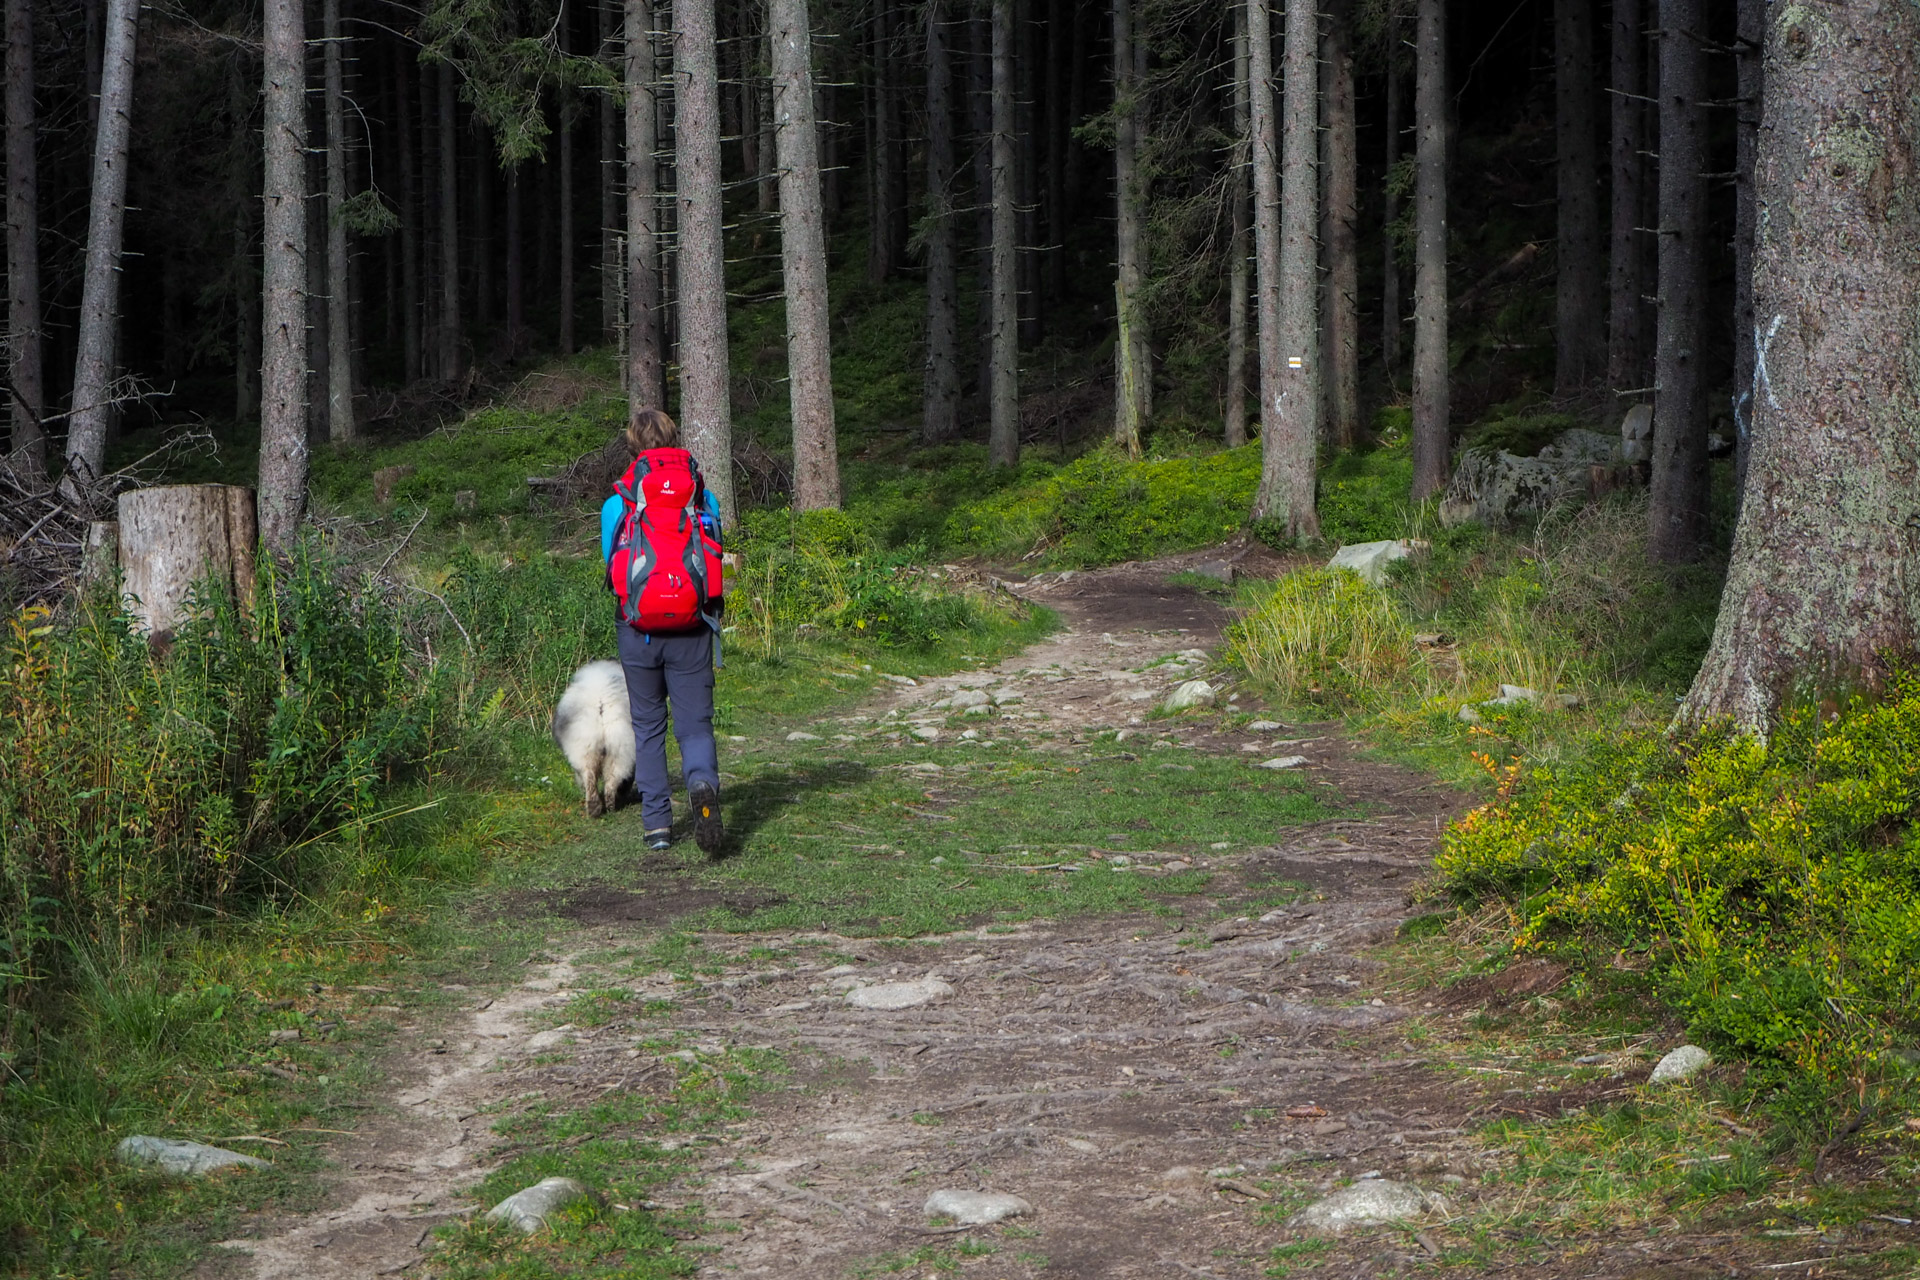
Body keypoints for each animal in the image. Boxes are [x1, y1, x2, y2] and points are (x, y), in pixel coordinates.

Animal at [549, 667, 637, 817]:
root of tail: (601, 704)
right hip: (616, 751)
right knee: (608, 782)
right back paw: (606, 808)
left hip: (589, 751)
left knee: (592, 779)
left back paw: (597, 809)